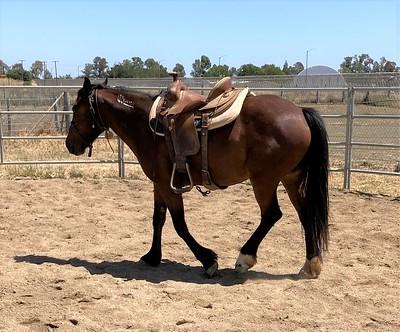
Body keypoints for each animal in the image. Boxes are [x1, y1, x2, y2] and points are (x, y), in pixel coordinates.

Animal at [65, 77, 328, 278]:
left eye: (76, 109)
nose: (70, 145)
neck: (146, 124)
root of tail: (300, 112)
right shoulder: (159, 183)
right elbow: (158, 219)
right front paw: (152, 256)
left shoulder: (168, 185)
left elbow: (179, 224)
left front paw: (208, 260)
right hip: (291, 178)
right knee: (306, 214)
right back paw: (311, 264)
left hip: (264, 180)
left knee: (272, 214)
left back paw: (244, 258)